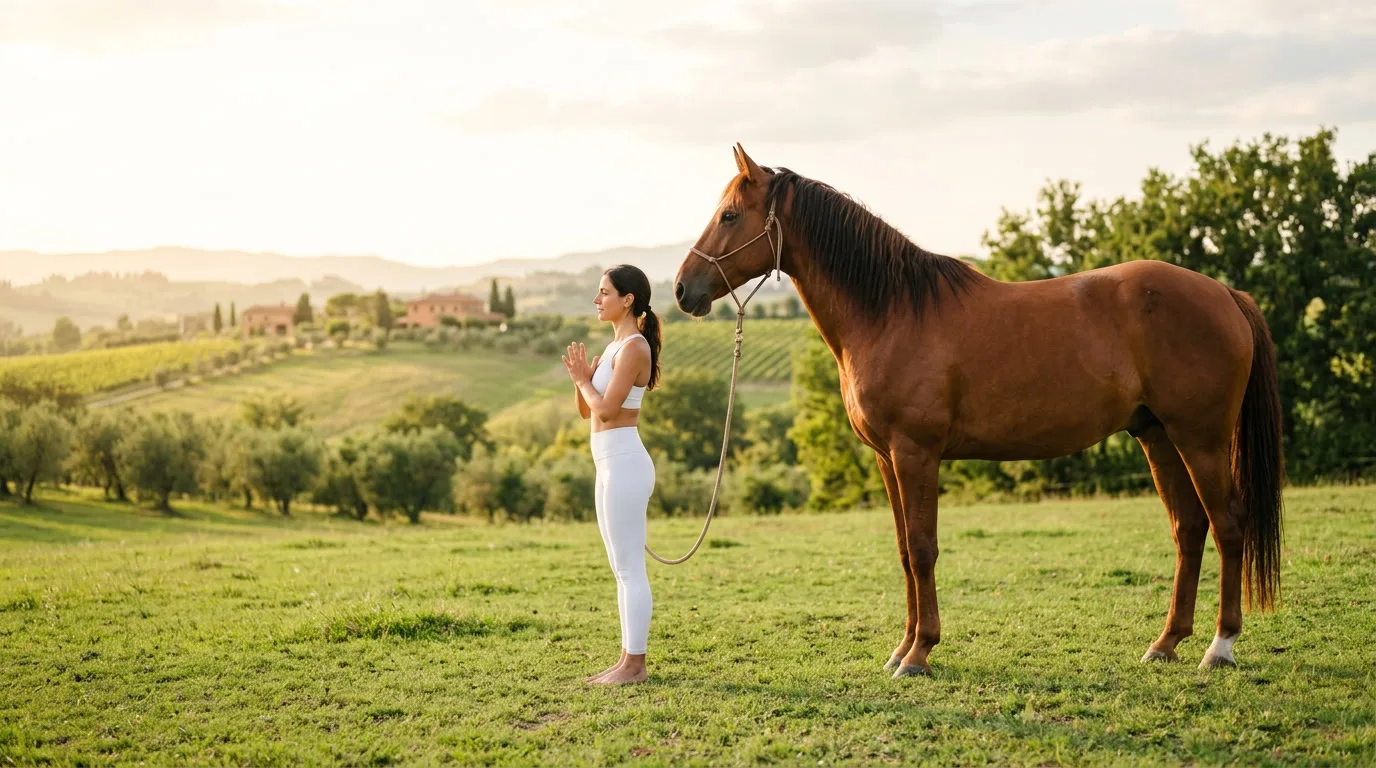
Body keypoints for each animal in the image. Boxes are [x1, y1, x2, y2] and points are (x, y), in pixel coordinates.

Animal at [673, 144, 1284, 677]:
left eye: (729, 215)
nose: (681, 290)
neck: (891, 311)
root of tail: (1225, 294)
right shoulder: (887, 459)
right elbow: (904, 551)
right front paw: (900, 650)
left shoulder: (916, 454)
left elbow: (923, 549)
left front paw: (920, 654)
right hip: (1157, 436)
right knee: (1190, 527)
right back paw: (1165, 644)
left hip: (1201, 438)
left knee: (1228, 526)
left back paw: (1220, 646)